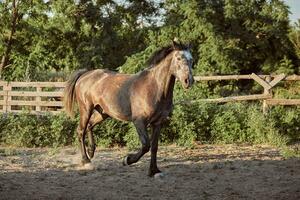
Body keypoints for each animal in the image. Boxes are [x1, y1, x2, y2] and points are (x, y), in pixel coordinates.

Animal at [63, 40, 195, 177]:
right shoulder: (139, 121)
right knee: (81, 131)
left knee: (89, 126)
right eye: (178, 58)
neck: (154, 88)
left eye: (192, 60)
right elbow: (146, 145)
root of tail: (85, 74)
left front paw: (154, 171)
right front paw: (127, 160)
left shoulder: (158, 123)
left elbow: (154, 147)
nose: (188, 81)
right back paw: (86, 161)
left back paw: (91, 151)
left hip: (103, 113)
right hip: (86, 109)